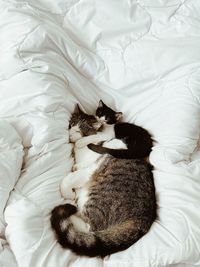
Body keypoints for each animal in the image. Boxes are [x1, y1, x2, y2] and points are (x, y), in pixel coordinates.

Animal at [50, 104, 156, 258]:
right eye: (71, 124)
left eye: (80, 129)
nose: (70, 134)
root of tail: (142, 221)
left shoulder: (97, 161)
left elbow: (69, 178)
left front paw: (68, 193)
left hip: (95, 200)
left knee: (90, 229)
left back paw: (72, 207)